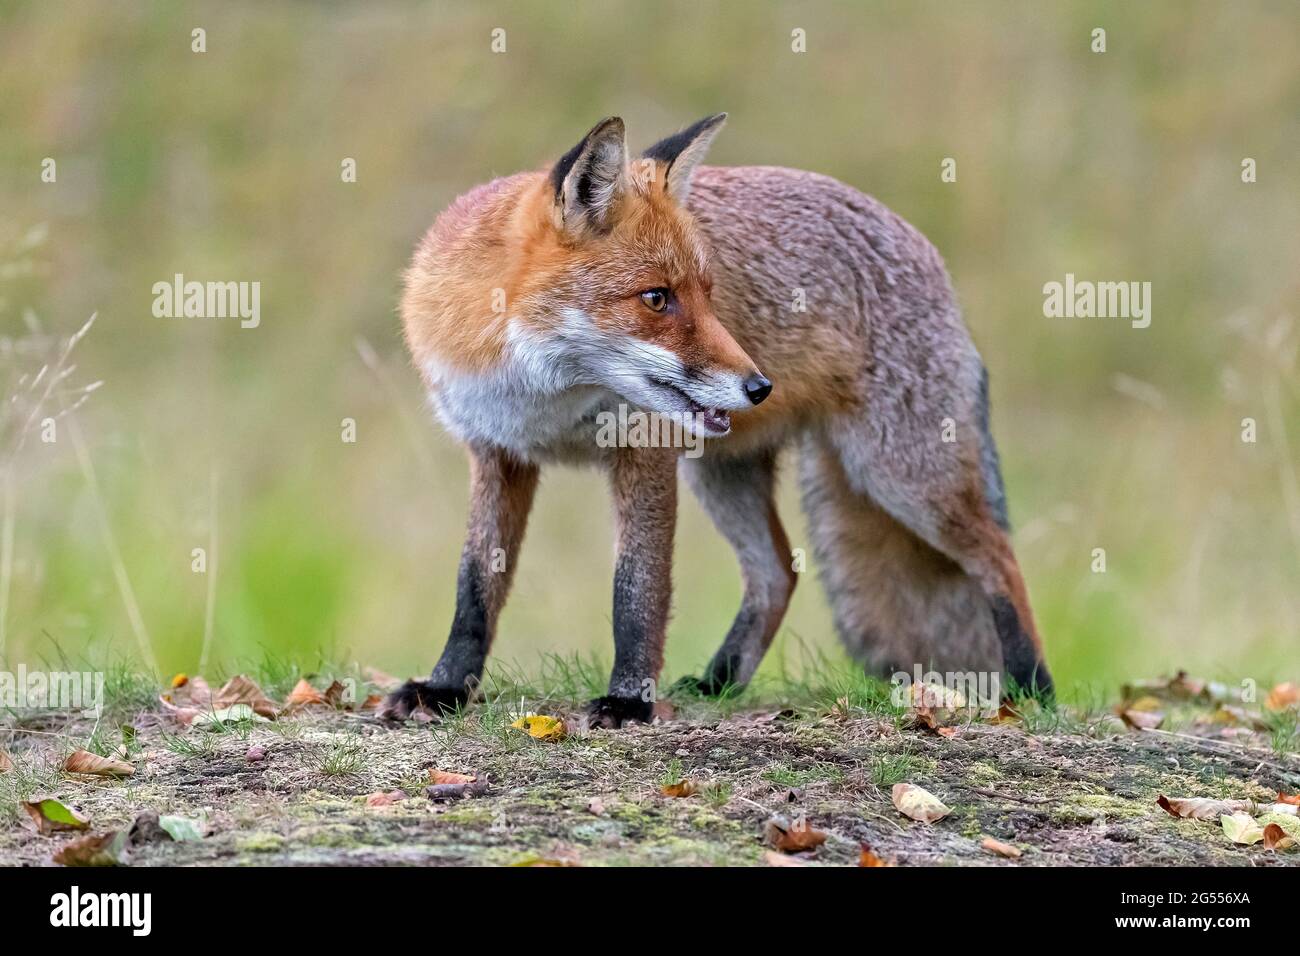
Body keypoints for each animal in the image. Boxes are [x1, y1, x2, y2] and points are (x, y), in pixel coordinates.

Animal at [379, 113, 1050, 723]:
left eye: (709, 292)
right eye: (656, 298)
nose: (759, 386)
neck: (542, 398)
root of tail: (921, 246)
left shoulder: (644, 455)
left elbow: (637, 590)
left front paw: (628, 702)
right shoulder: (497, 452)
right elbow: (475, 587)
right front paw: (444, 688)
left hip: (899, 475)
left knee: (999, 557)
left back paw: (1031, 689)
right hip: (725, 475)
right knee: (778, 573)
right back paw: (718, 682)